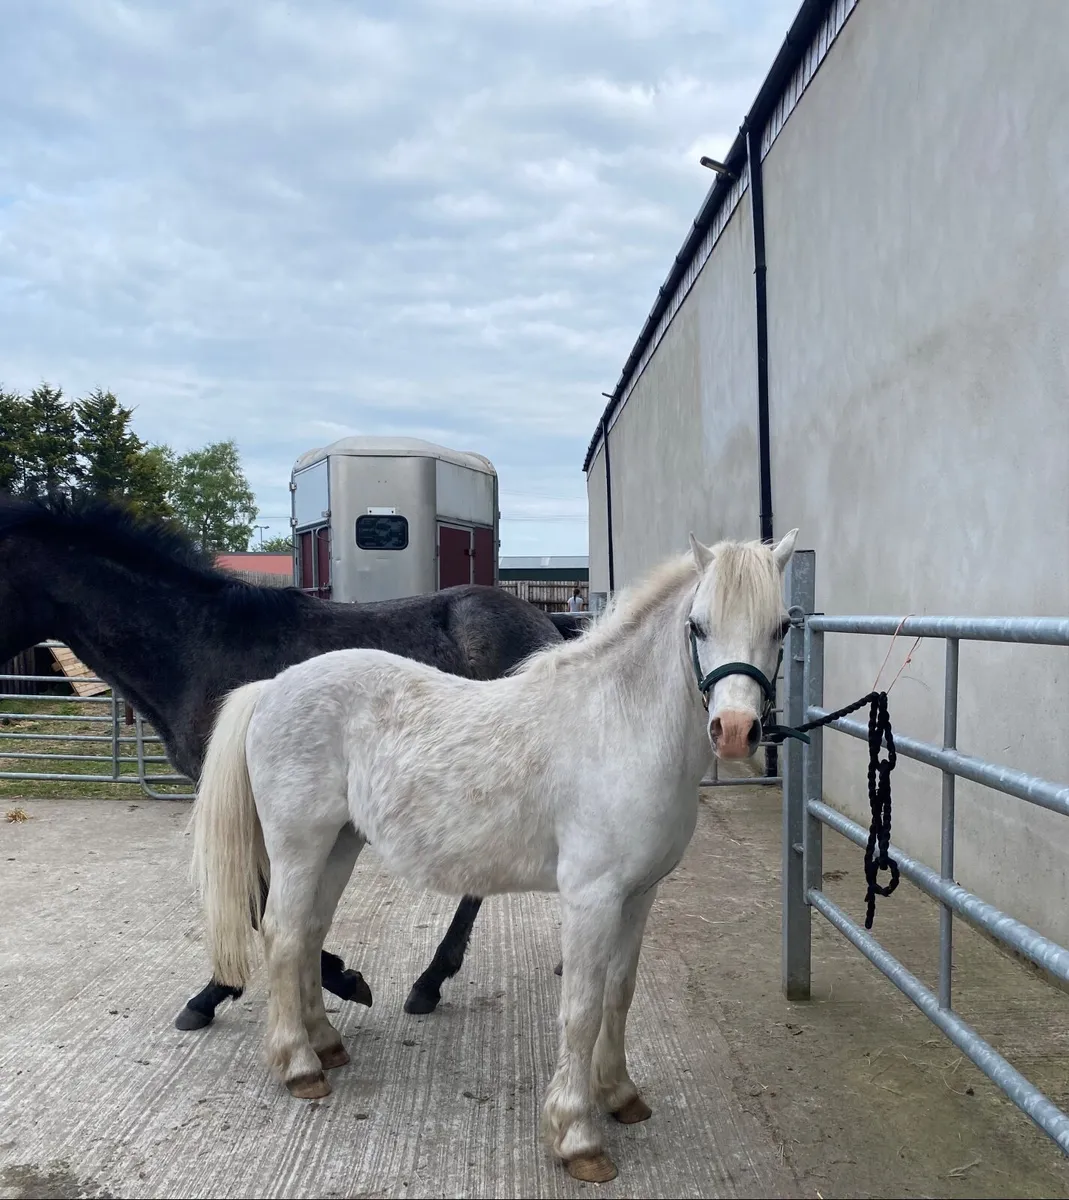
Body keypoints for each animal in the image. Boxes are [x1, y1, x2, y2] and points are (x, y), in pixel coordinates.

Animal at [191, 528, 799, 1183]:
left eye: (782, 626)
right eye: (698, 626)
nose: (733, 730)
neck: (617, 728)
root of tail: (272, 688)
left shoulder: (639, 896)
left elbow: (619, 993)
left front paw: (620, 1094)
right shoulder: (591, 899)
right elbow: (582, 1009)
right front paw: (578, 1137)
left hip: (338, 846)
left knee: (306, 932)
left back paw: (326, 1045)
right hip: (299, 844)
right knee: (282, 933)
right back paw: (300, 1067)